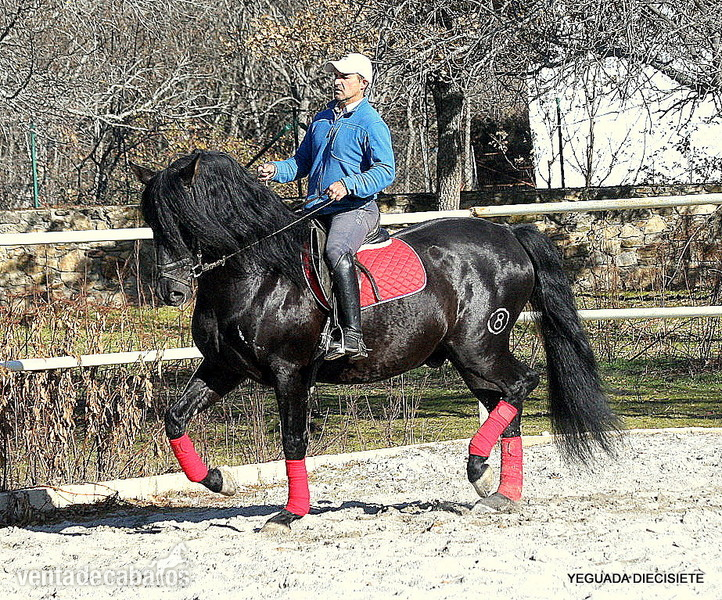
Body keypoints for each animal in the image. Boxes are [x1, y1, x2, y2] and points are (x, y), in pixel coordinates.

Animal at [132, 150, 619, 532]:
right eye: (152, 223)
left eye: (185, 219)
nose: (171, 291)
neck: (255, 273)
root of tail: (509, 235)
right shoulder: (224, 368)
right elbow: (174, 418)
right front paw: (220, 479)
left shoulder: (291, 374)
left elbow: (293, 440)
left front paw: (291, 513)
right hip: (469, 357)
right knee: (505, 403)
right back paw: (499, 490)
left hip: (480, 346)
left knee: (520, 385)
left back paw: (478, 465)